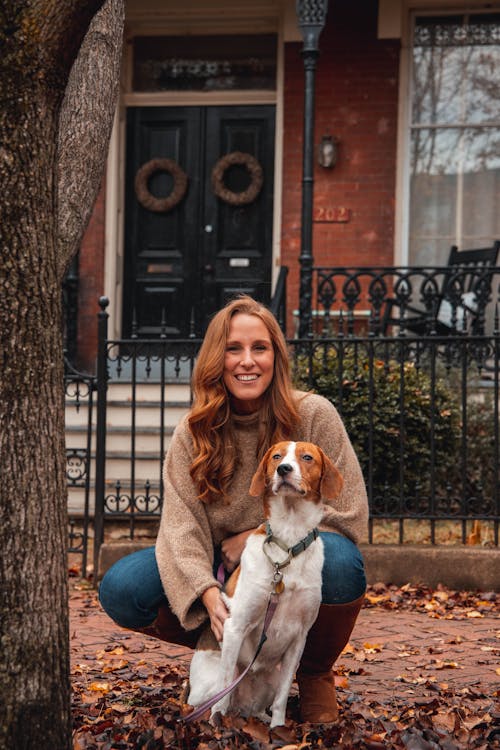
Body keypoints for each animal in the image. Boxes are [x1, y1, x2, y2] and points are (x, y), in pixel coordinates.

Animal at [188, 440, 344, 728]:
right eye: (277, 456)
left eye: (307, 457)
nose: (283, 469)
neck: (289, 543)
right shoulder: (235, 627)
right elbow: (223, 692)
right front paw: (219, 728)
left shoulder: (299, 639)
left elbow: (282, 698)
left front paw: (279, 730)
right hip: (212, 681)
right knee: (216, 699)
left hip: (270, 679)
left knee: (257, 707)